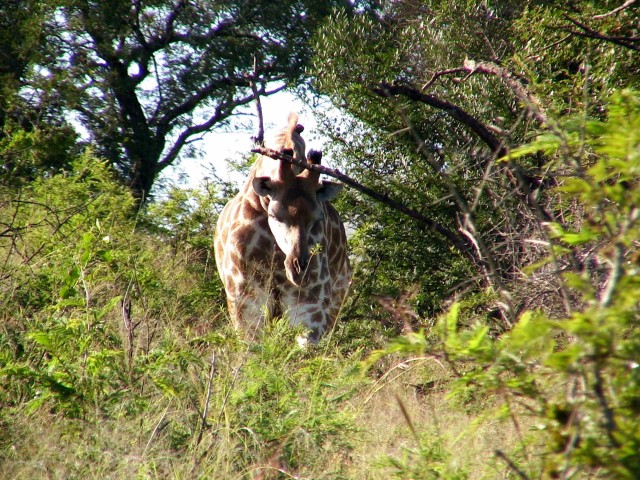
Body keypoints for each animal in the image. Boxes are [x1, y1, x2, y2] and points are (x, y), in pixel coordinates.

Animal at [214, 113, 350, 344]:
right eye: (276, 215)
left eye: (317, 219)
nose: (299, 270)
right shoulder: (245, 296)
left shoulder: (309, 300)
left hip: (336, 300)